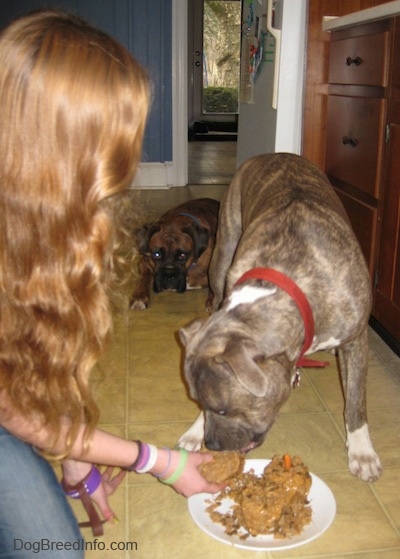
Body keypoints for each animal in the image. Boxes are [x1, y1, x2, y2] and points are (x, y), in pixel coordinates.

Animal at [177, 155, 382, 484]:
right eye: (199, 403)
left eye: (223, 411)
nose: (212, 444)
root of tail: (276, 154)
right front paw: (195, 430)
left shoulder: (356, 339)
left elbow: (355, 401)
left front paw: (362, 451)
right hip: (222, 253)